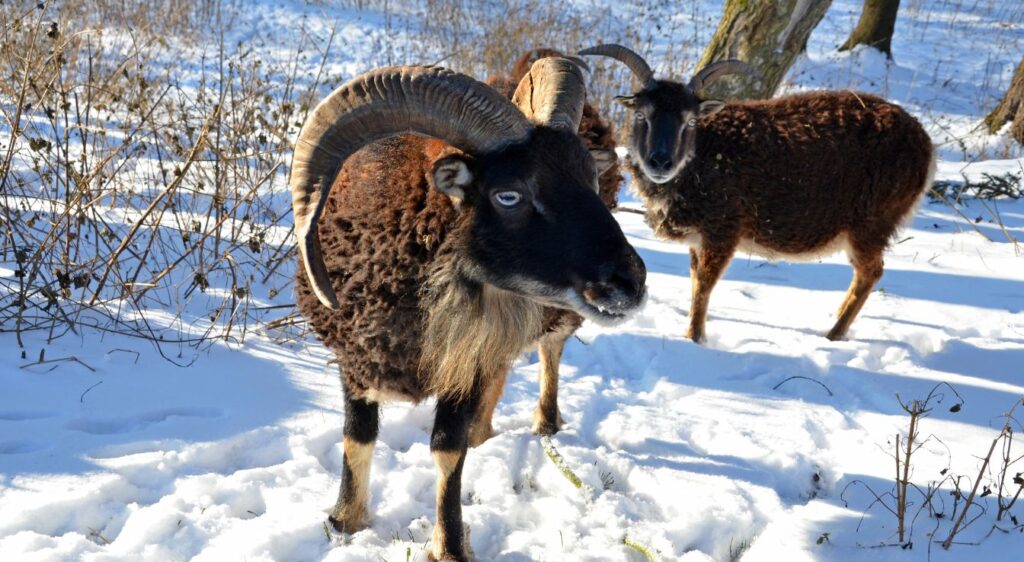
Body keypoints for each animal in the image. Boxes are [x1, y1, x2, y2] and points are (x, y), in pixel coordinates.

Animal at [290, 57, 647, 561]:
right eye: (508, 195)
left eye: (590, 182)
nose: (631, 283)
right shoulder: (356, 354)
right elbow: (356, 437)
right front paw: (345, 521)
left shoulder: (466, 361)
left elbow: (447, 450)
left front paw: (449, 545)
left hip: (554, 318)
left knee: (550, 352)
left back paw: (544, 421)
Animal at [580, 44, 935, 342]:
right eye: (642, 115)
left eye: (689, 121)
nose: (660, 161)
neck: (705, 156)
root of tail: (925, 146)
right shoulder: (699, 236)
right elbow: (694, 280)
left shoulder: (723, 230)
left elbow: (704, 285)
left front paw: (694, 336)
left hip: (871, 223)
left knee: (870, 272)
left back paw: (834, 334)